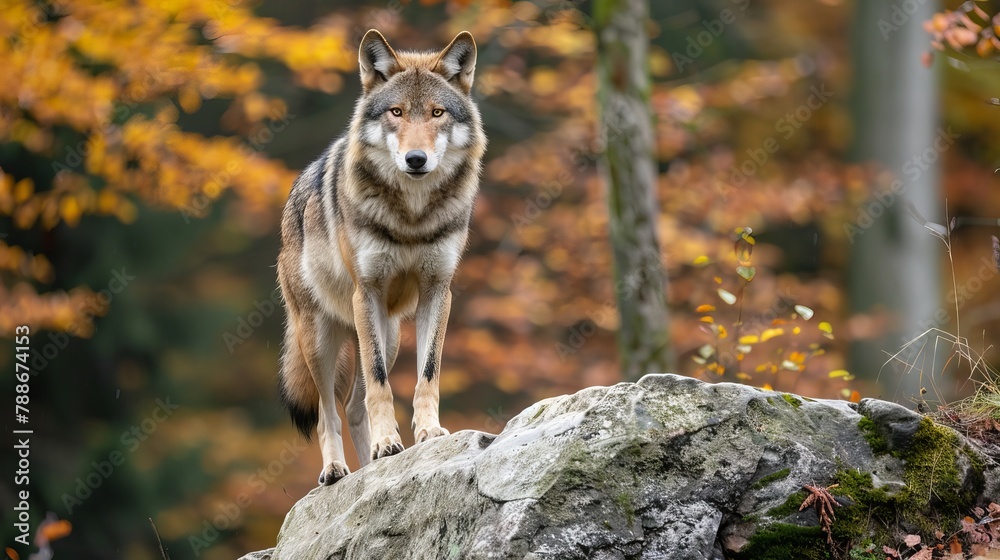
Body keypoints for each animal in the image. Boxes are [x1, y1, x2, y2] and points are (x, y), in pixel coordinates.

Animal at [276, 29, 485, 485]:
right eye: (396, 112)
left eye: (437, 113)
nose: (416, 159)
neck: (412, 217)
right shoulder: (366, 292)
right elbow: (379, 386)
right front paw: (388, 441)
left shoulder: (437, 291)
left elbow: (427, 375)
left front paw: (427, 433)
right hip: (321, 337)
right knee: (328, 412)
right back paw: (337, 469)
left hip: (388, 333)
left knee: (354, 406)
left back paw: (372, 466)